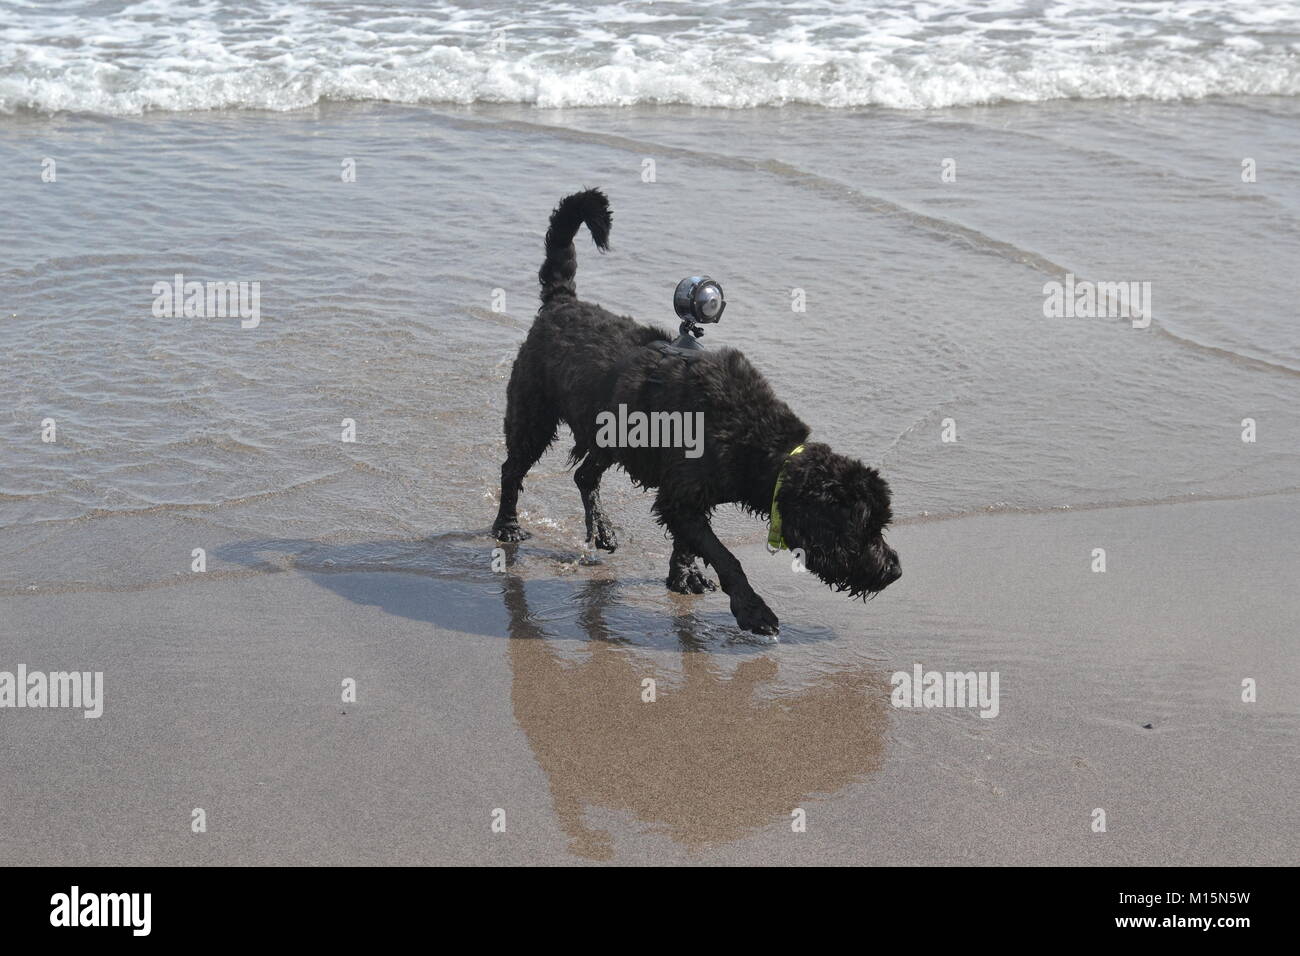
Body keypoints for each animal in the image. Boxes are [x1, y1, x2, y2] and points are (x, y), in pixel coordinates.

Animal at [491, 188, 899, 634]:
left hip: (609, 435)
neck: (753, 437)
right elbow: (724, 555)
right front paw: (752, 609)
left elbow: (688, 544)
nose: (894, 569)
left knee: (585, 476)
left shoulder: (689, 498)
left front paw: (682, 577)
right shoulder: (681, 496)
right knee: (513, 470)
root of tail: (561, 302)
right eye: (863, 528)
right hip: (532, 415)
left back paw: (601, 530)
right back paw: (507, 527)